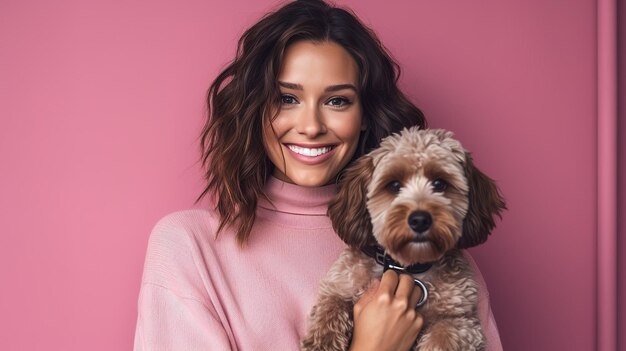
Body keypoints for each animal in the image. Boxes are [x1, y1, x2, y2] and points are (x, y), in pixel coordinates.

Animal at [300, 128, 504, 351]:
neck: (406, 266)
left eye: (440, 184)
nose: (420, 220)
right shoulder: (340, 284)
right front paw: (321, 343)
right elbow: (330, 308)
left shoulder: (461, 320)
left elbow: (443, 337)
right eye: (394, 185)